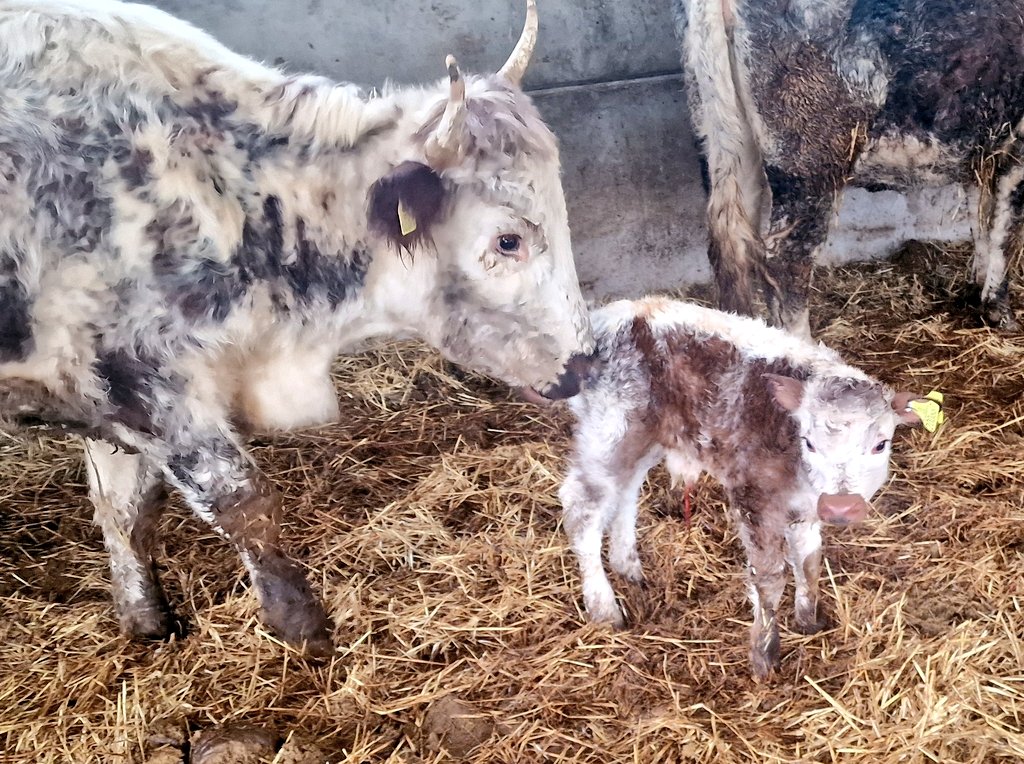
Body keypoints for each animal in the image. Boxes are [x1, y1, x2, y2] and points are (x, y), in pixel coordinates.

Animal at [0, 0, 595, 656]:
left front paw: (146, 619)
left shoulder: (107, 397)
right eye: (507, 240)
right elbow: (240, 500)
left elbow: (127, 508)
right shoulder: (140, 379)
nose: (583, 366)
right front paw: (302, 627)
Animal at [558, 297, 928, 678]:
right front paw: (765, 655)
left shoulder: (806, 505)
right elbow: (769, 577)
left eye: (881, 444)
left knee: (626, 493)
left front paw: (808, 621)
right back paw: (604, 609)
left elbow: (809, 560)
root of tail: (608, 317)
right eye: (809, 443)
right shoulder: (753, 495)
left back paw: (628, 566)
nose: (840, 506)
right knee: (582, 509)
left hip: (647, 437)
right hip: (610, 432)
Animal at [674, 0, 1024, 338]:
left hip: (727, 146)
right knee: (784, 262)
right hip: (810, 162)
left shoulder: (981, 151)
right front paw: (1000, 310)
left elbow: (981, 218)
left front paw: (979, 286)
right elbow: (1004, 230)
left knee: (735, 246)